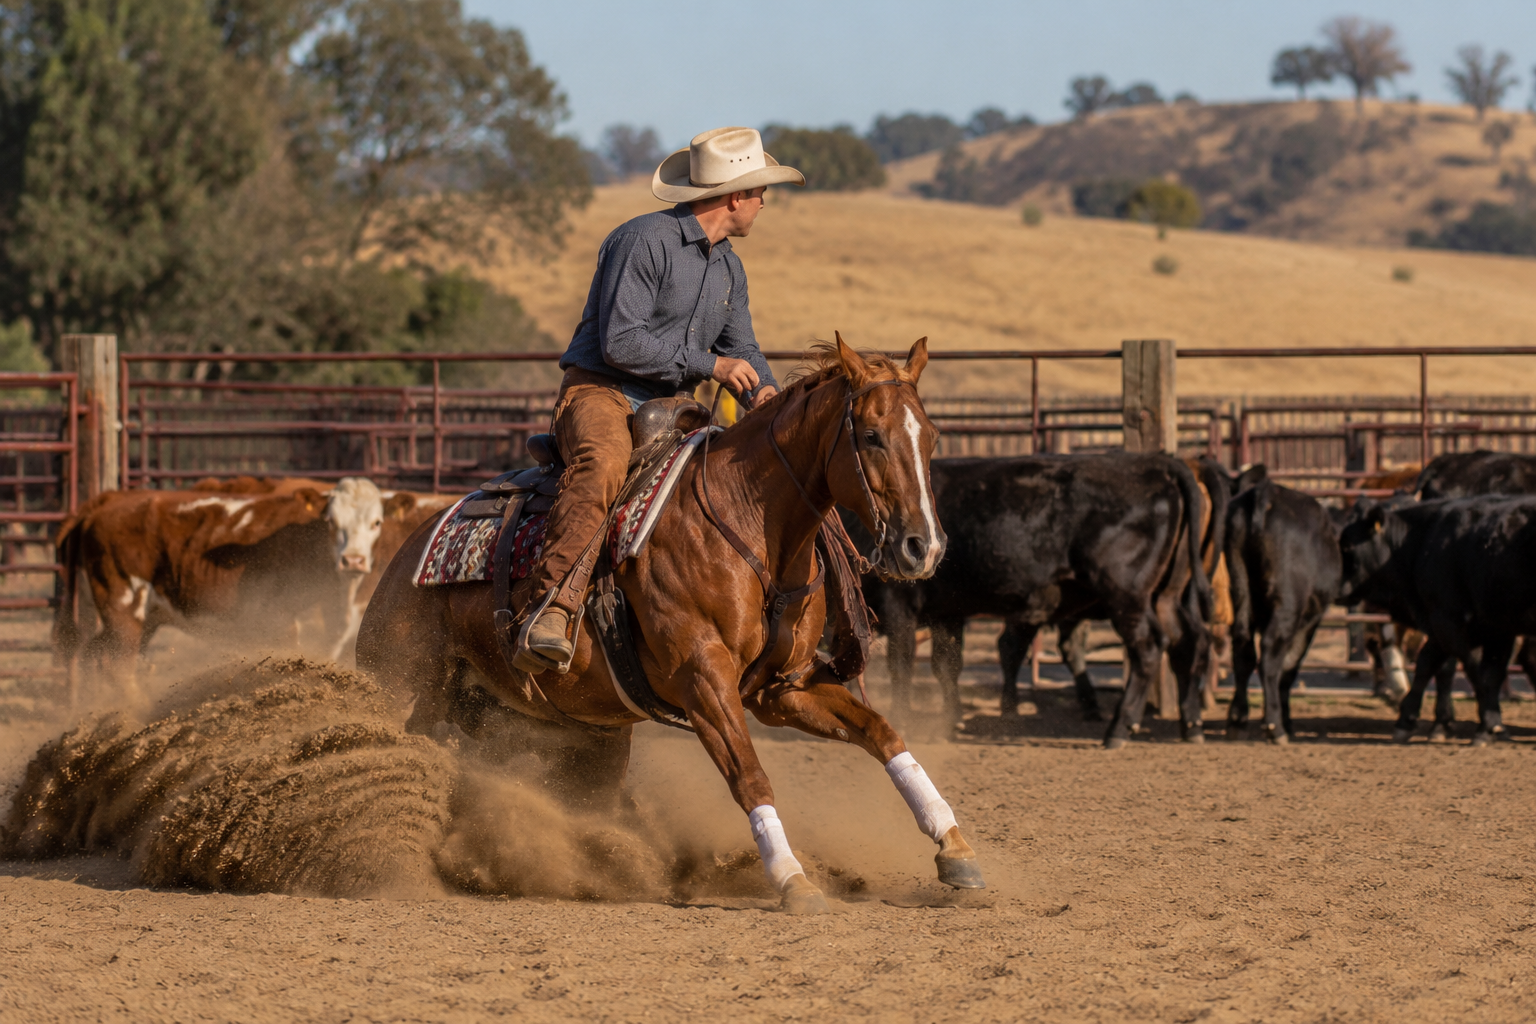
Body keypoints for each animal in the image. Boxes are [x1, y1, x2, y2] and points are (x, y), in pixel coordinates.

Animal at [357, 337, 986, 913]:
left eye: (931, 437)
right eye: (873, 436)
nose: (924, 547)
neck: (747, 525)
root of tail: (410, 547)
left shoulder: (783, 688)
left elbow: (882, 733)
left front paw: (955, 849)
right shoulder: (703, 679)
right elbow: (750, 775)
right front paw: (791, 879)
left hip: (576, 733)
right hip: (401, 683)